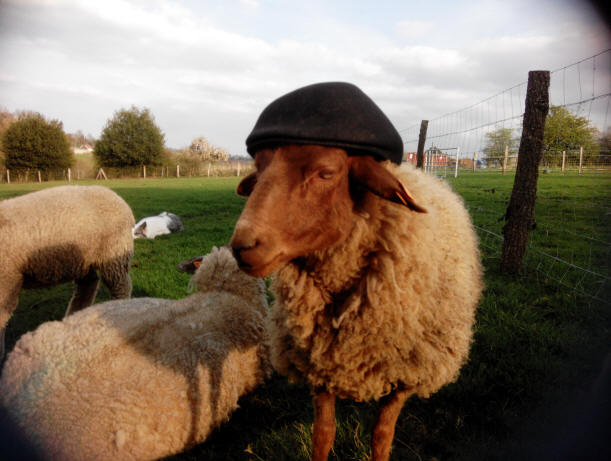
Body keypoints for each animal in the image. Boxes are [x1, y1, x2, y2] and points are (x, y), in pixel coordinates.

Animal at [0, 185, 134, 358]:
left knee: (121, 287)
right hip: (83, 260)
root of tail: (116, 196)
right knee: (88, 285)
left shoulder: (6, 279)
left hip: (114, 253)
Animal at [232, 82, 486, 460]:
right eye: (259, 168)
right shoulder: (320, 366)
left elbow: (381, 434)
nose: (242, 246)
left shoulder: (405, 375)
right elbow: (323, 433)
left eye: (325, 173)